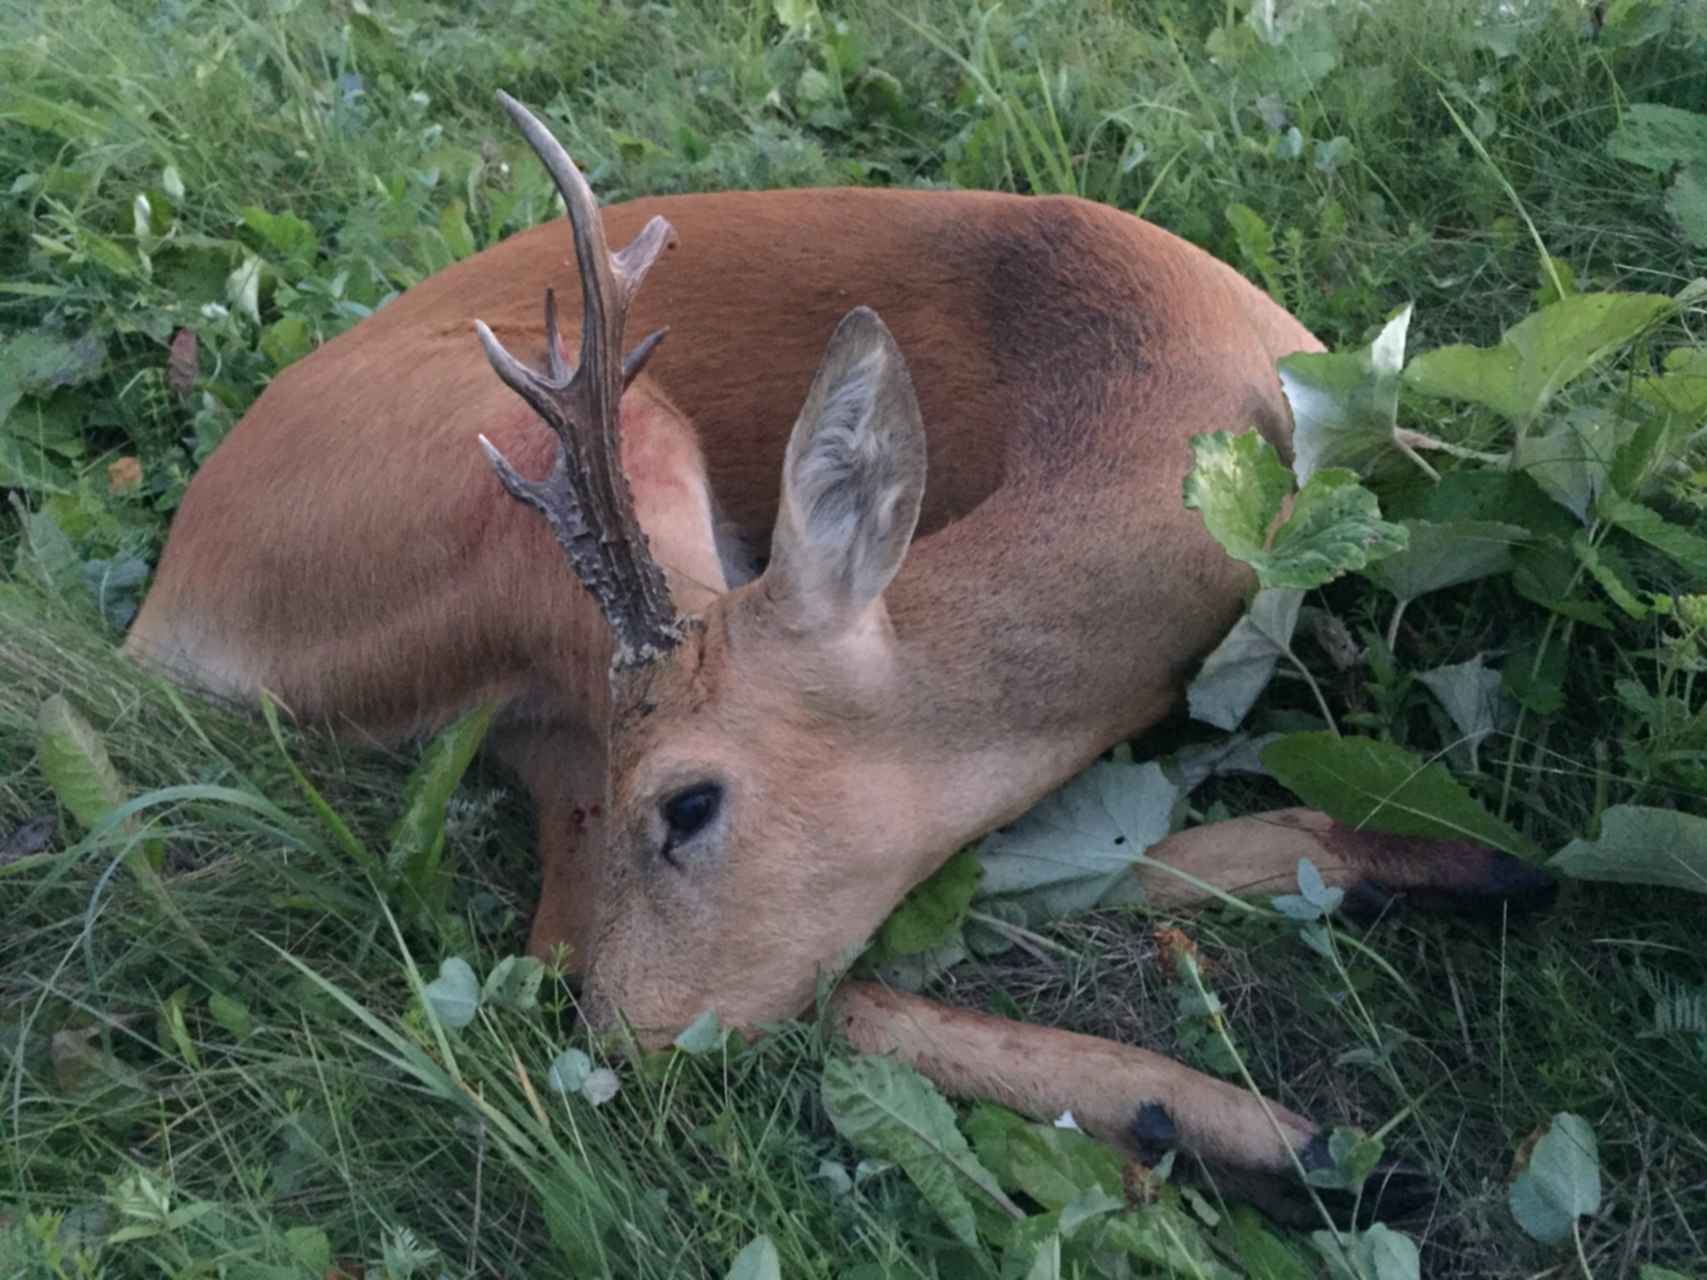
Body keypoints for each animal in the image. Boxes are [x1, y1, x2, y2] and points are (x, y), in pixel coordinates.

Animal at [126, 92, 1556, 1221]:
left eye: (689, 804)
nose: (616, 1053)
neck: (1169, 411)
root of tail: (165, 618)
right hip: (580, 467)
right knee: (668, 960)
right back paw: (1257, 1133)